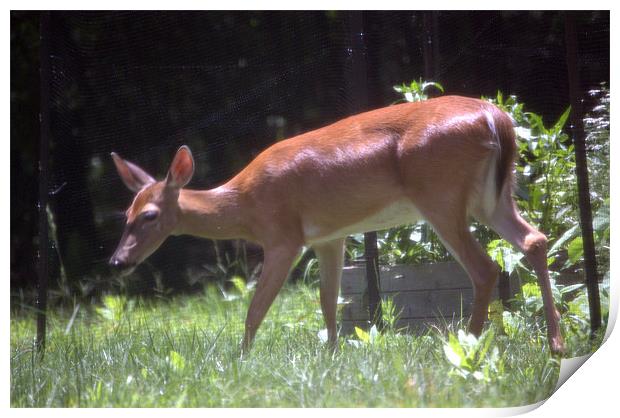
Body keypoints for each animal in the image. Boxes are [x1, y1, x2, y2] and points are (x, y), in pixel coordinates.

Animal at [109, 96, 564, 354]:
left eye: (149, 216)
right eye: (125, 215)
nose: (117, 262)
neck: (243, 204)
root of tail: (495, 117)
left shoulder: (284, 236)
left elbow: (256, 309)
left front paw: (241, 361)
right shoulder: (330, 237)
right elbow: (329, 302)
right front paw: (331, 356)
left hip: (440, 194)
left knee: (484, 267)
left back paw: (468, 343)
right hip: (491, 197)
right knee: (535, 240)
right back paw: (555, 344)